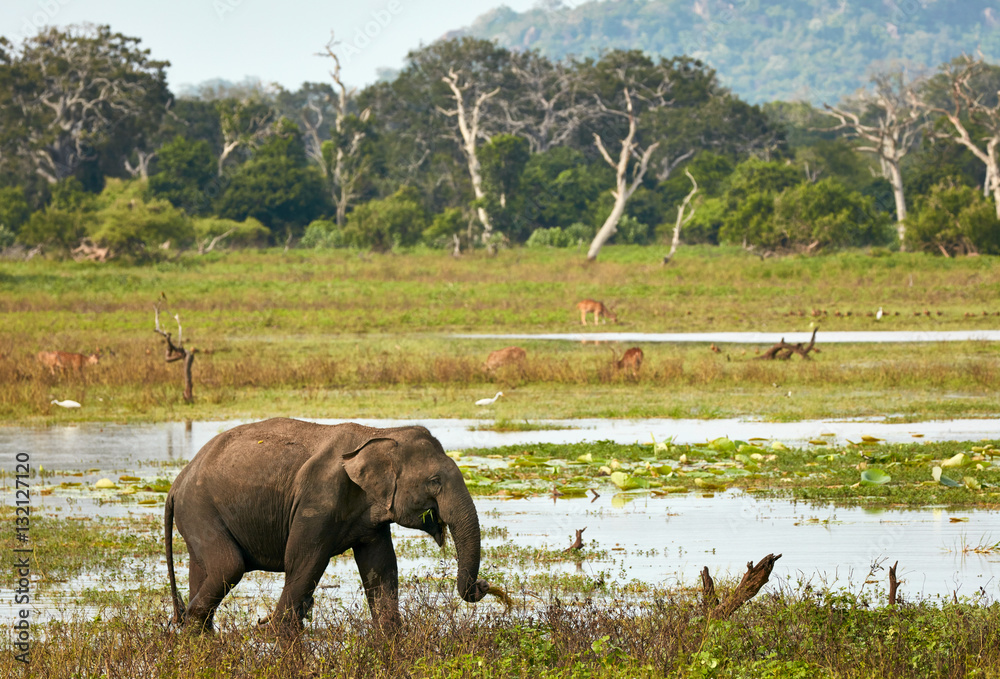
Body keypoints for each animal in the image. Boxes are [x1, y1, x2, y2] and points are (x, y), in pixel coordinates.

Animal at [164, 418, 491, 633]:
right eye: (434, 481)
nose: (484, 585)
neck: (378, 433)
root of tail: (176, 483)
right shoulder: (318, 499)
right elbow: (304, 560)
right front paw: (280, 630)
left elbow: (381, 566)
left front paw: (390, 635)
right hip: (200, 510)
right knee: (229, 566)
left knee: (205, 571)